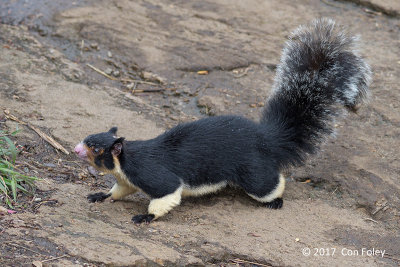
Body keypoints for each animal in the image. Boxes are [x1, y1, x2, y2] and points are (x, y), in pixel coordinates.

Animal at [75, 17, 372, 225]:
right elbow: (119, 190)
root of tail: (267, 139)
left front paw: (146, 217)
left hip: (252, 171)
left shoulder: (153, 174)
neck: (125, 161)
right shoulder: (127, 179)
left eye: (96, 148)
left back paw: (275, 201)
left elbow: (167, 194)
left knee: (269, 183)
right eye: (88, 137)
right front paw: (101, 195)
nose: (76, 149)